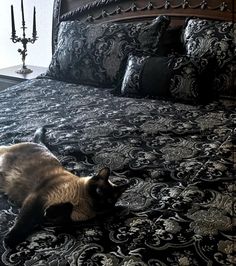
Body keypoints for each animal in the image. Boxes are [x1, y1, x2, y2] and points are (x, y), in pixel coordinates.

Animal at [0, 128, 129, 248]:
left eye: (109, 201)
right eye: (98, 191)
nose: (100, 203)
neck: (82, 203)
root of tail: (37, 144)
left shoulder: (58, 220)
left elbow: (65, 208)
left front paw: (52, 210)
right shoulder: (37, 198)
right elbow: (24, 221)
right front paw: (9, 240)